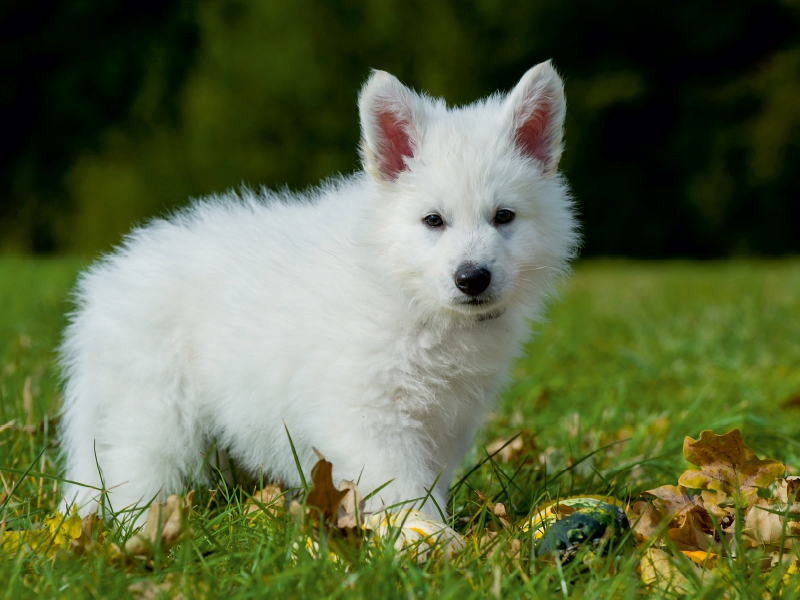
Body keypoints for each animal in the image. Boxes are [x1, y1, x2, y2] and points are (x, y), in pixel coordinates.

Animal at [59, 61, 580, 520]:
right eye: (433, 221)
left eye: (504, 217)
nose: (472, 278)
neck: (403, 289)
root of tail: (107, 280)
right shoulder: (367, 411)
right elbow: (402, 485)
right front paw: (426, 538)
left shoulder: (445, 421)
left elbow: (428, 479)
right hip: (157, 417)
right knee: (133, 478)